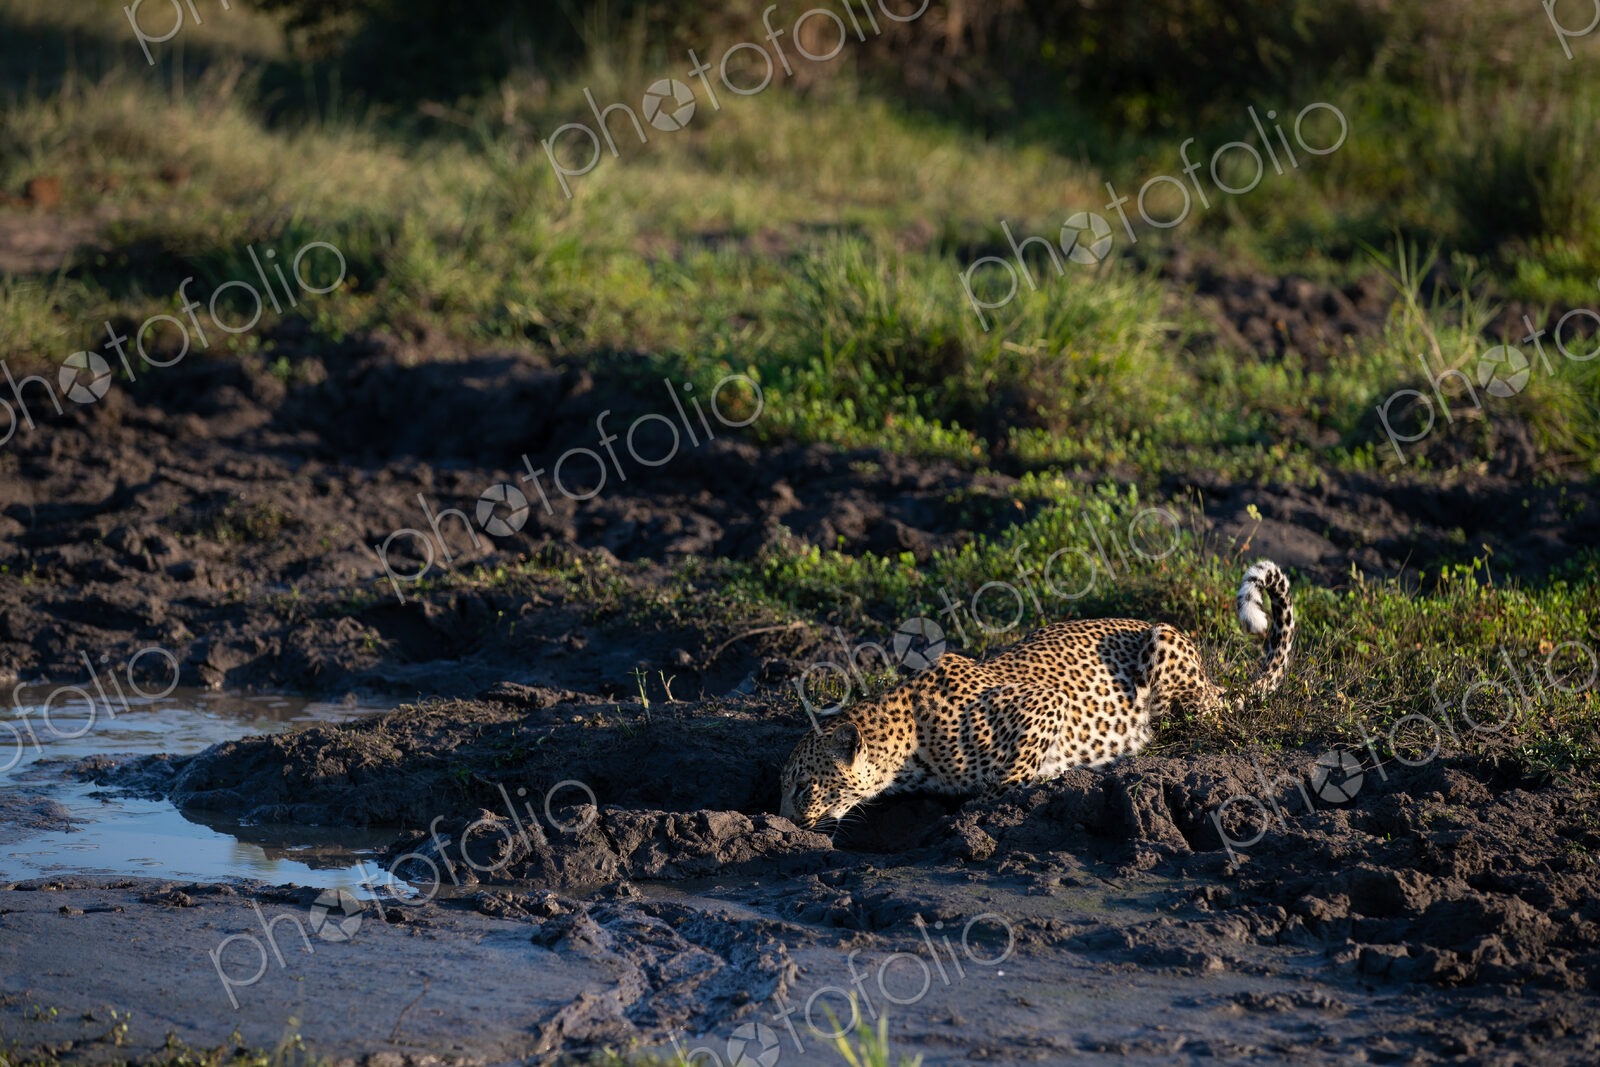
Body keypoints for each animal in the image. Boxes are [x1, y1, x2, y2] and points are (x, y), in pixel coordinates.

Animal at [778, 559, 1294, 830]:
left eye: (803, 786)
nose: (782, 821)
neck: (907, 752)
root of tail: (1211, 682)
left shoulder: (1045, 703)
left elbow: (1004, 778)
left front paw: (1037, 779)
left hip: (1164, 643)